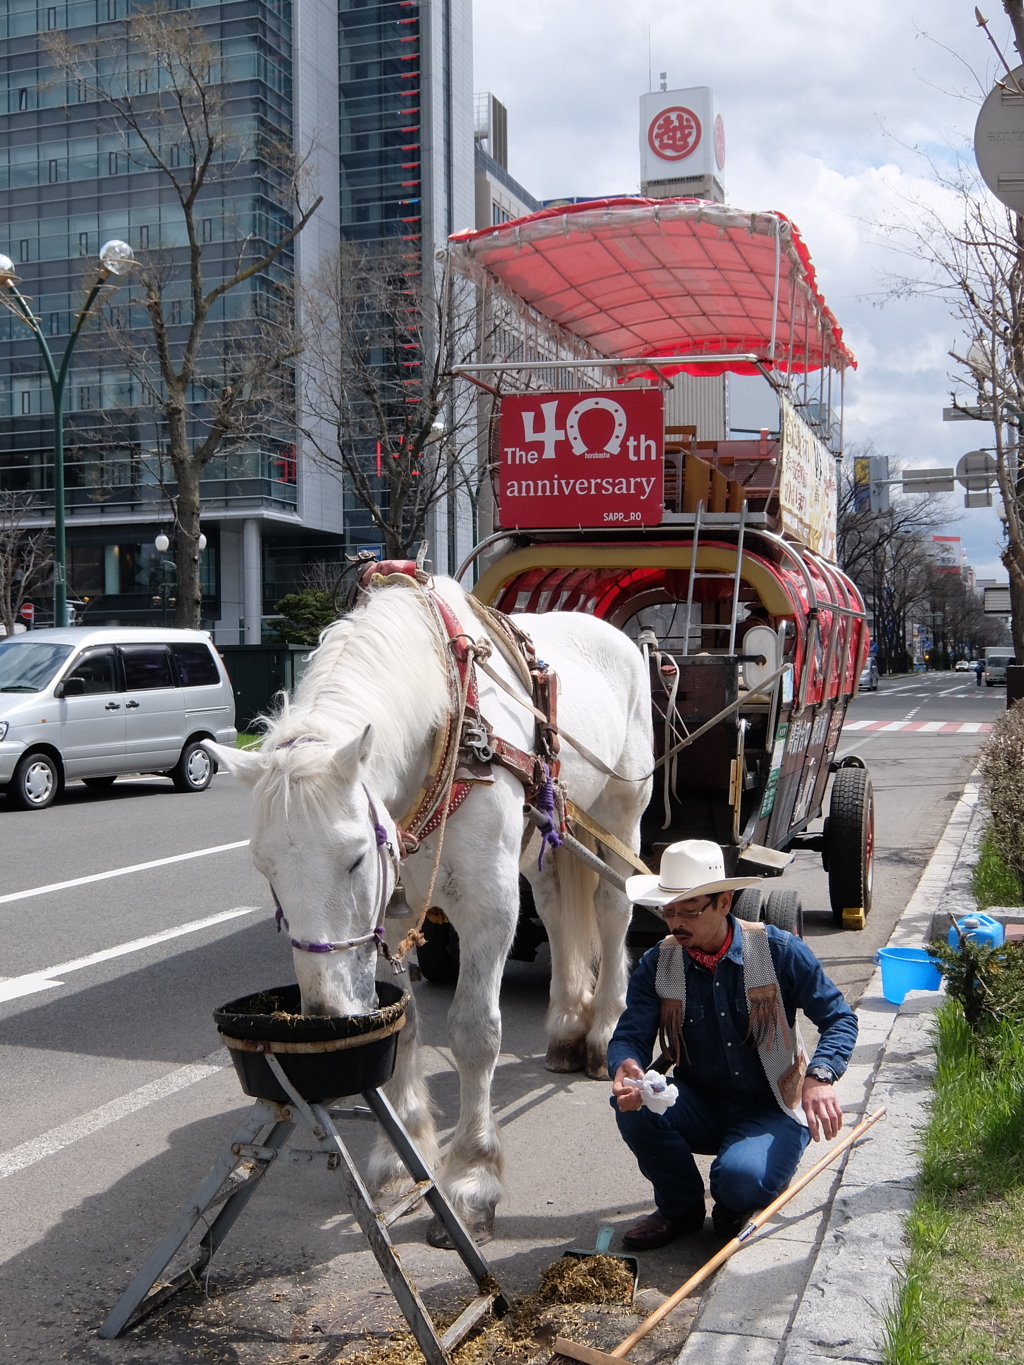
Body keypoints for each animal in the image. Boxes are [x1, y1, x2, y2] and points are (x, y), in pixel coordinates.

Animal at [208, 573, 653, 1242]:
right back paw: (566, 1026)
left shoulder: (490, 906)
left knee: (611, 908)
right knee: (555, 907)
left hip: (622, 812)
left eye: (355, 858)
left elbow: (474, 1032)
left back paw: (602, 1032)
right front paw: (403, 1154)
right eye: (265, 869)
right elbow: (405, 1025)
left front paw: (471, 1177)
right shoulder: (394, 912)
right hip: (548, 829)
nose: (324, 1014)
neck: (445, 728)